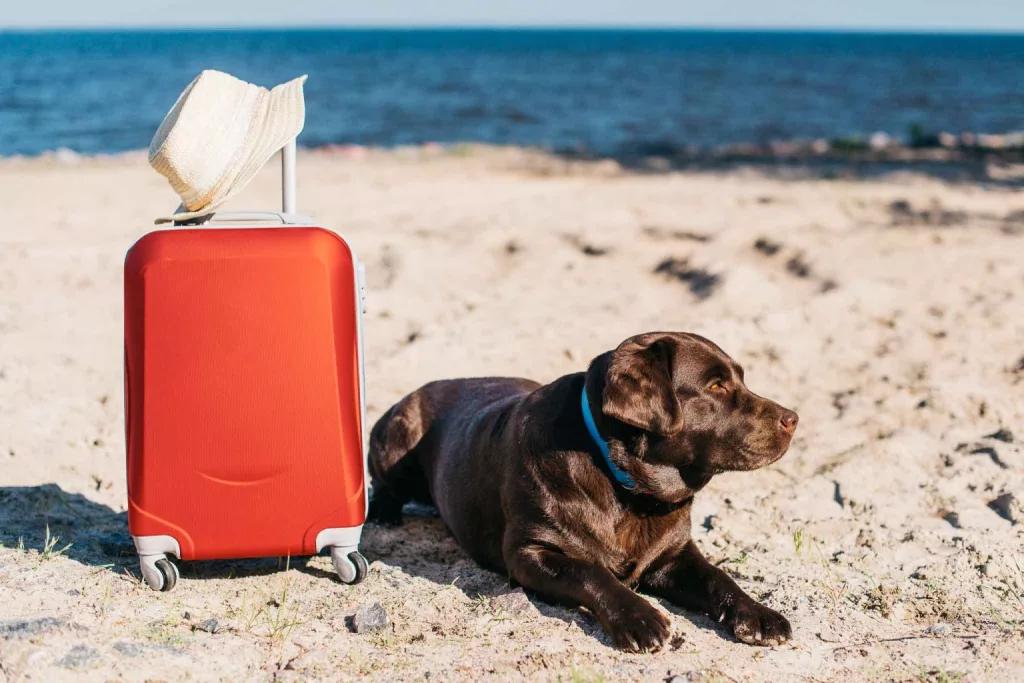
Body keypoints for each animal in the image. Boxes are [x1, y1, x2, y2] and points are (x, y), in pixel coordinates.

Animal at [368, 333, 798, 655]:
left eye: (740, 379)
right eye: (716, 386)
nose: (793, 418)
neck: (629, 489)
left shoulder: (672, 555)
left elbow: (717, 577)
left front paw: (758, 614)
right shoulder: (529, 552)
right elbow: (589, 571)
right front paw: (639, 618)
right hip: (397, 435)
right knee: (382, 483)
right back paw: (384, 515)